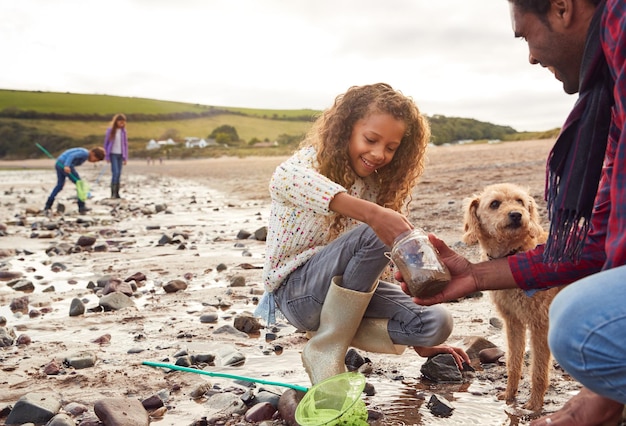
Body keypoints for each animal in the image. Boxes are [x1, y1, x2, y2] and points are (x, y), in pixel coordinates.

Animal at [460, 183, 560, 412]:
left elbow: (539, 370)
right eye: (495, 203)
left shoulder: (540, 324)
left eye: (520, 201)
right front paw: (509, 397)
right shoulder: (513, 322)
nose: (516, 214)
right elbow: (514, 362)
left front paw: (534, 405)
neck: (512, 254)